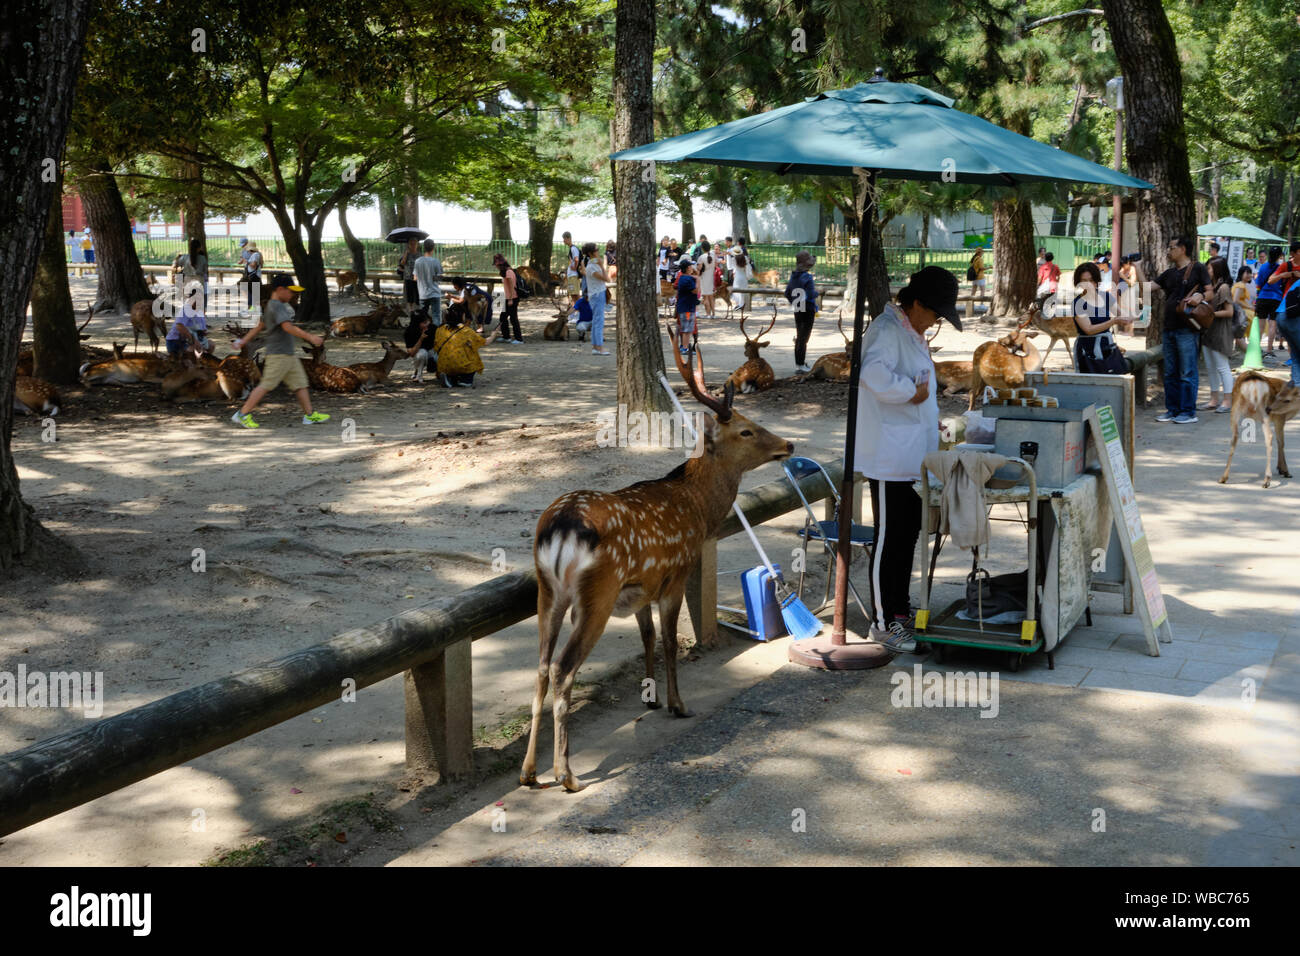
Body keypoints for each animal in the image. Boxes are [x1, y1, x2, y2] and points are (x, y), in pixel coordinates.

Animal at [520, 327, 790, 790]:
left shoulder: (640, 588)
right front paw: (678, 704)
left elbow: (647, 637)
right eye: (746, 431)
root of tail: (560, 527)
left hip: (547, 591)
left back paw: (529, 773)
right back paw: (566, 773)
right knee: (561, 669)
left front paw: (651, 698)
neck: (698, 508)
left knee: (539, 666)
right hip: (595, 594)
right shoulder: (676, 572)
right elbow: (668, 641)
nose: (788, 444)